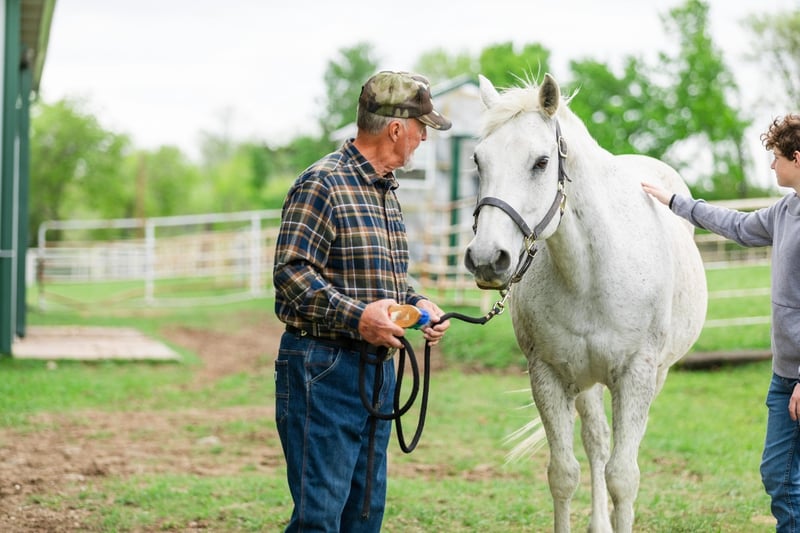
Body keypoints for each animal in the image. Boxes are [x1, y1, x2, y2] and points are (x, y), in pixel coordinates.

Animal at [464, 73, 707, 532]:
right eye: (477, 161)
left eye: (541, 162)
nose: (487, 258)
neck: (591, 274)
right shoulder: (549, 375)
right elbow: (564, 474)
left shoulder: (636, 375)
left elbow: (623, 477)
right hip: (587, 382)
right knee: (596, 442)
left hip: (653, 375)